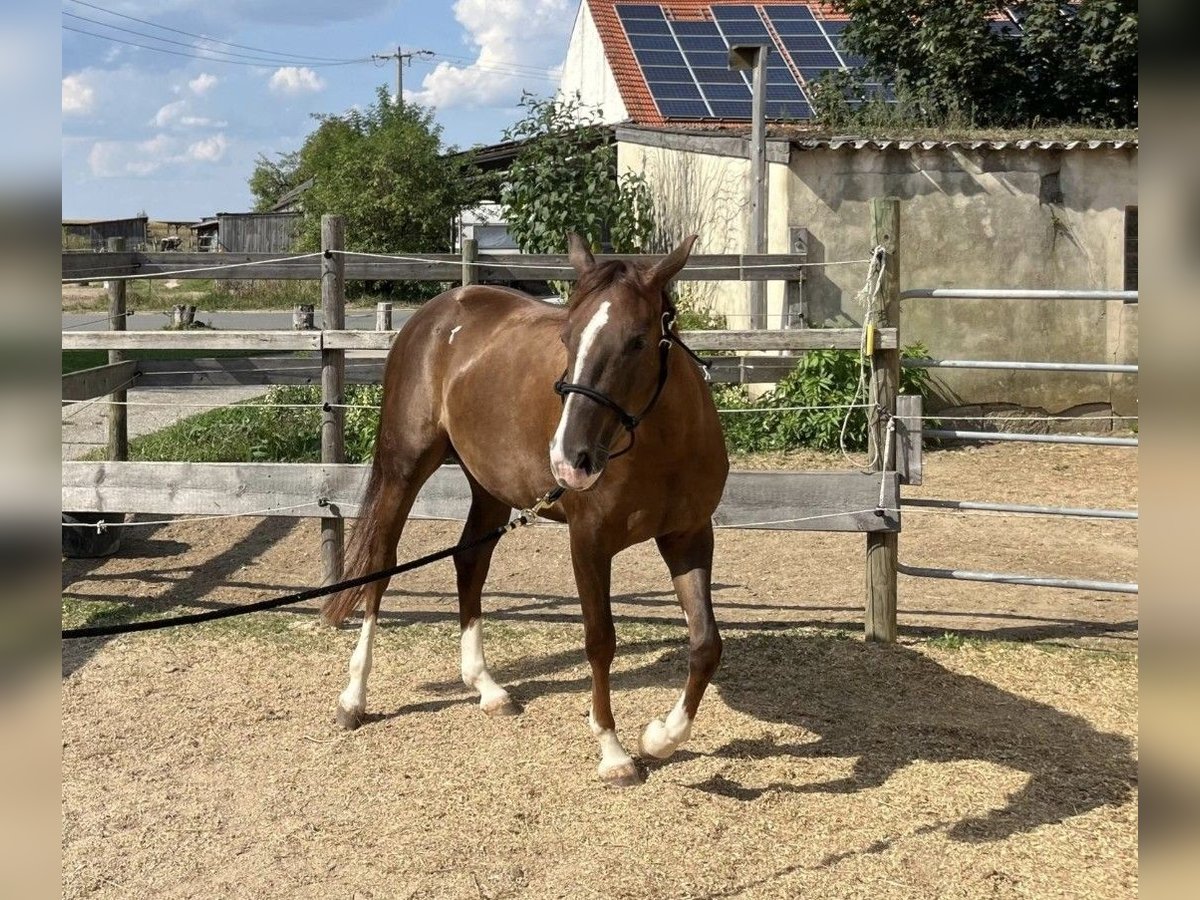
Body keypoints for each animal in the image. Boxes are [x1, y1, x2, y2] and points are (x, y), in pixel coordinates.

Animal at [324, 234, 724, 787]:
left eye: (638, 341)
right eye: (568, 337)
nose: (569, 459)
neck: (662, 449)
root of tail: (438, 310)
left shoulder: (689, 536)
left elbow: (706, 644)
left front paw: (660, 737)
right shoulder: (589, 542)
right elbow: (600, 640)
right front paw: (614, 752)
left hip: (490, 488)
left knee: (469, 561)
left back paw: (487, 687)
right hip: (405, 468)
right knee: (380, 568)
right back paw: (353, 699)